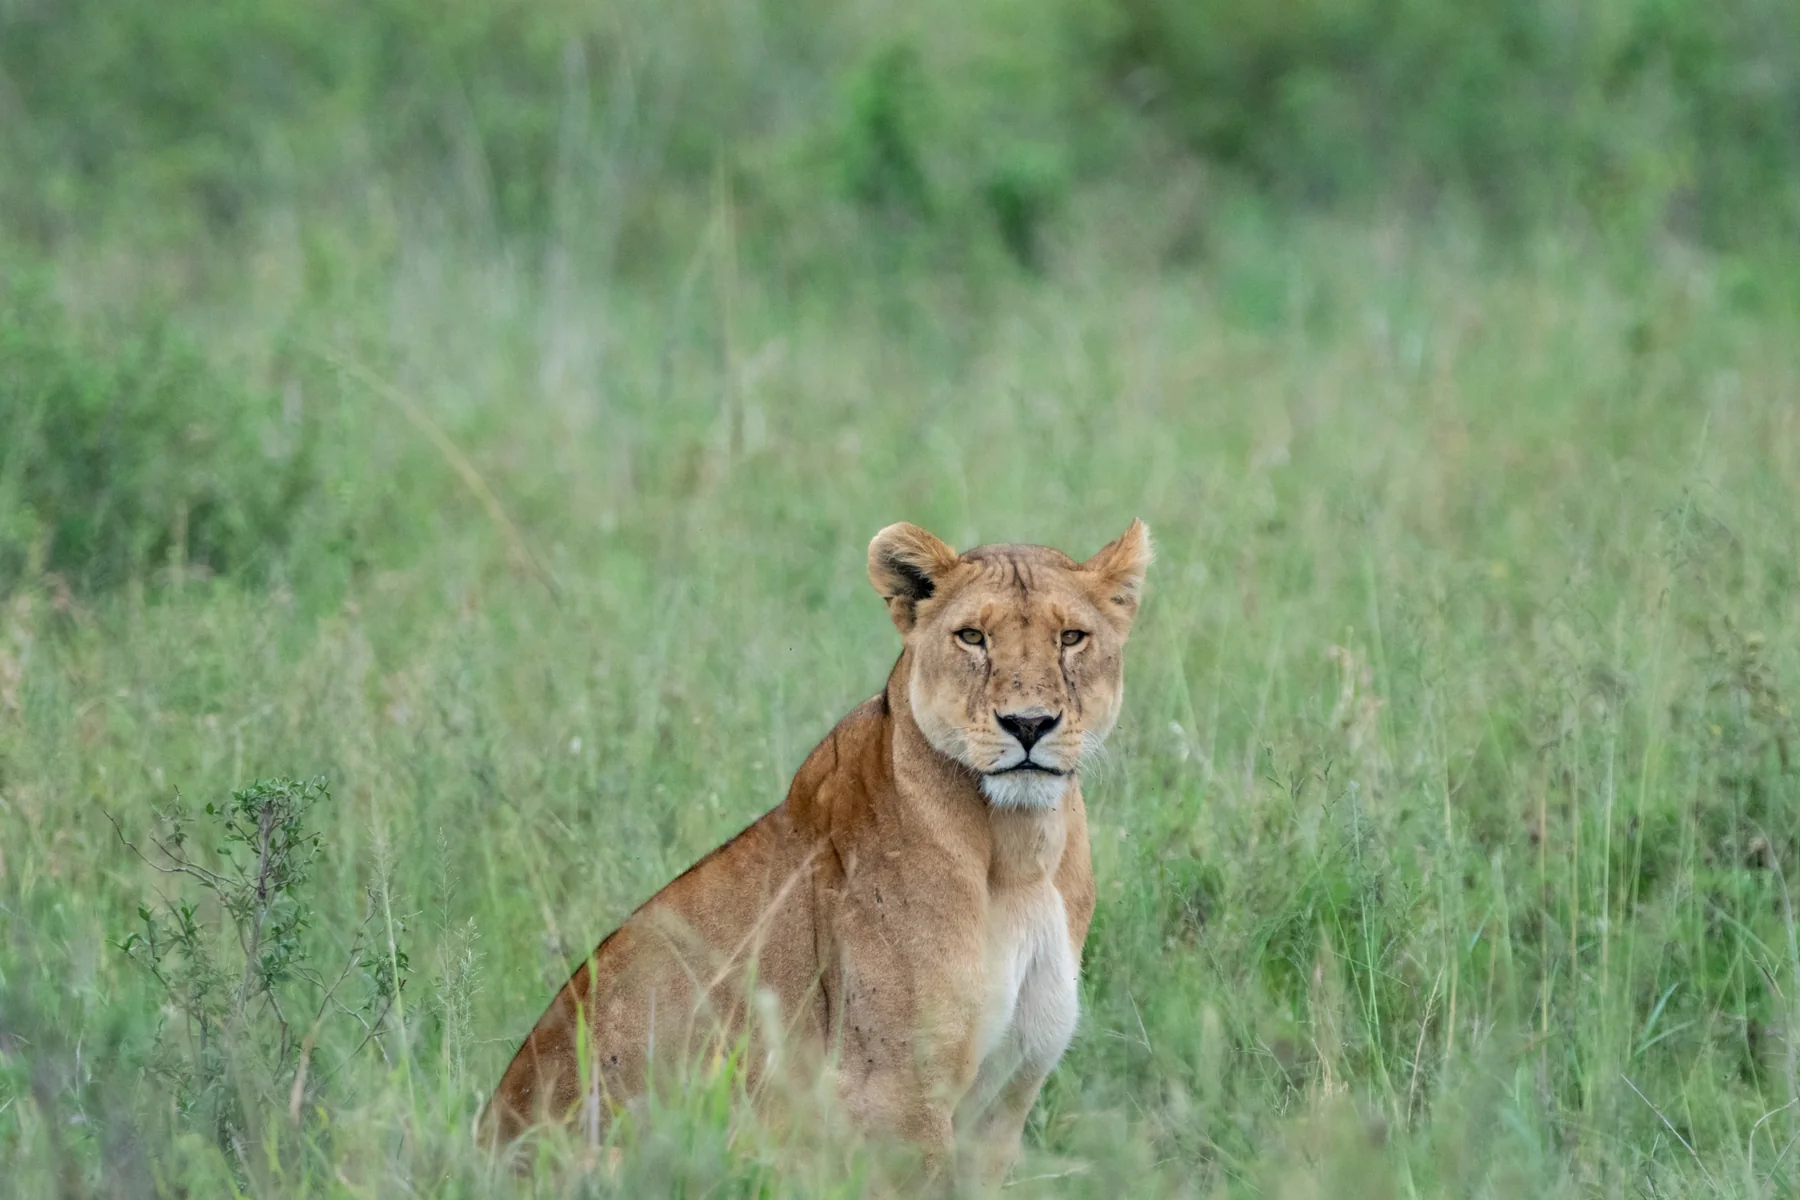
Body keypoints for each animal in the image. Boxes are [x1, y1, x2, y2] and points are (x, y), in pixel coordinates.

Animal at [483, 520, 1152, 1182]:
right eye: (972, 636)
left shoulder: (1004, 1101)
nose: (1029, 724)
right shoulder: (895, 1096)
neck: (1021, 851)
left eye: (1071, 638)